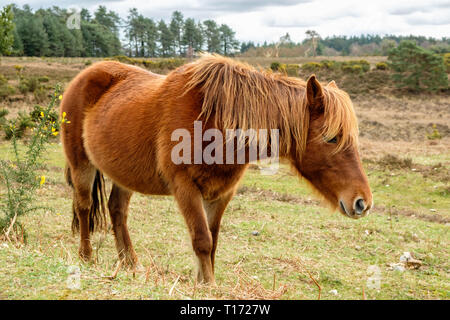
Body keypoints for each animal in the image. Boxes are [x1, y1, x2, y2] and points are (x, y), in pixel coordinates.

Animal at [61, 53, 374, 284]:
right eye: (332, 137)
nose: (363, 202)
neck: (215, 122)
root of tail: (85, 75)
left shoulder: (221, 194)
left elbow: (213, 240)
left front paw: (203, 282)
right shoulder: (185, 188)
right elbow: (202, 239)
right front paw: (208, 284)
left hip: (124, 174)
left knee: (117, 211)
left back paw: (130, 264)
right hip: (81, 165)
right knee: (84, 206)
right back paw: (86, 256)